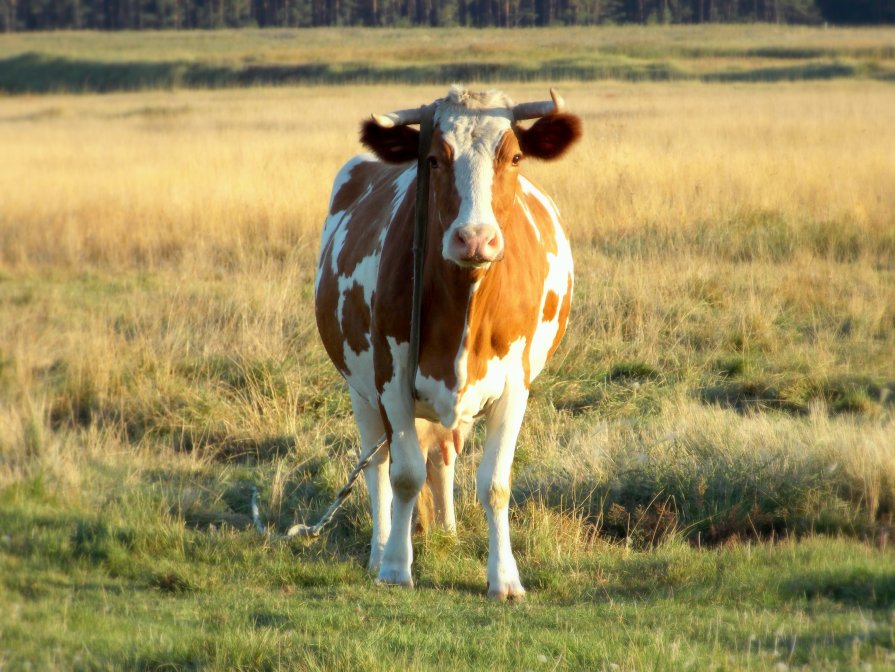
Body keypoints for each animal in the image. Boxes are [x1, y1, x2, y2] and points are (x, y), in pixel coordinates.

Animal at [316, 85, 580, 600]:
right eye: (435, 159)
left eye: (514, 156)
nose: (474, 239)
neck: (465, 302)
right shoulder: (391, 381)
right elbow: (403, 476)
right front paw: (395, 566)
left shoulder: (515, 386)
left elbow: (495, 482)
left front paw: (504, 578)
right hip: (360, 391)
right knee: (377, 465)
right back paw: (380, 548)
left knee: (442, 455)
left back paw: (448, 531)